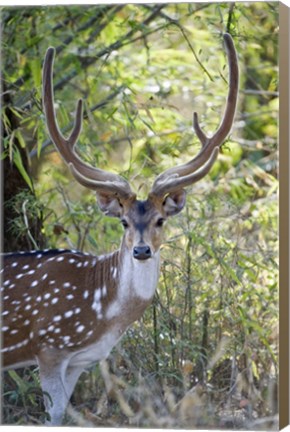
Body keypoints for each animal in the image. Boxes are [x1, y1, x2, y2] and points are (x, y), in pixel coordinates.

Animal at [1, 34, 238, 426]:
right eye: (124, 221)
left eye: (160, 220)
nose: (141, 250)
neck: (102, 314)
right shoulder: (48, 344)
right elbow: (53, 414)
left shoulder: (79, 360)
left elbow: (62, 412)